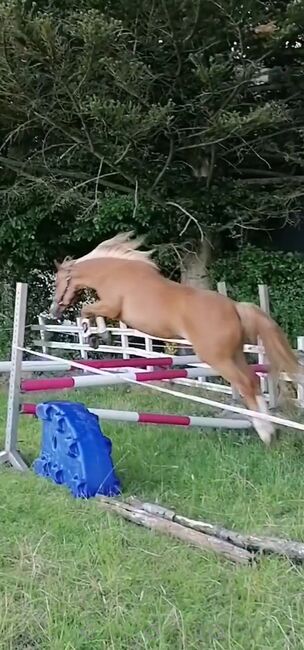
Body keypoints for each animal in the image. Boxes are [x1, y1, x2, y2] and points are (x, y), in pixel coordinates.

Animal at [50, 230, 302, 442]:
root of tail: (235, 307)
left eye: (58, 282)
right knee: (253, 381)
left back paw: (265, 432)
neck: (113, 272)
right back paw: (270, 428)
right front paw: (101, 338)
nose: (54, 311)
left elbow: (86, 311)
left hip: (218, 358)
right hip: (235, 354)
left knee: (246, 384)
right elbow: (91, 313)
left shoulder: (111, 308)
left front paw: (94, 336)